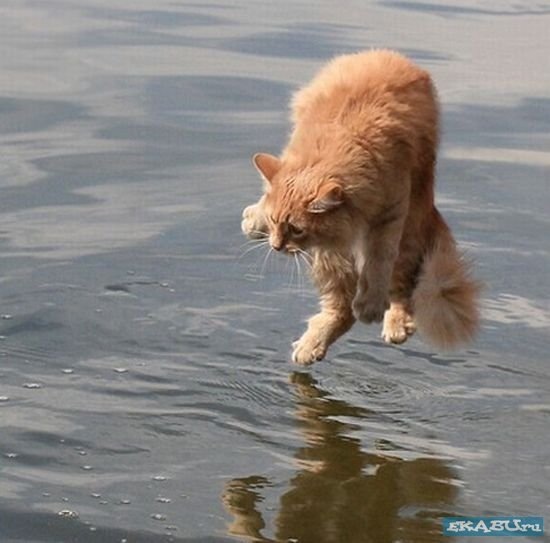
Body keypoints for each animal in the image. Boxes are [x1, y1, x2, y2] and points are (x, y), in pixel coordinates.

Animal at [241, 49, 480, 365]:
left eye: (296, 229)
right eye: (274, 221)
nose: (277, 246)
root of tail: (390, 54)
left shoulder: (391, 213)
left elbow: (379, 261)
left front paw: (370, 304)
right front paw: (256, 220)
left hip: (408, 225)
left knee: (400, 286)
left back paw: (392, 322)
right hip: (332, 256)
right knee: (342, 309)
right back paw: (312, 345)